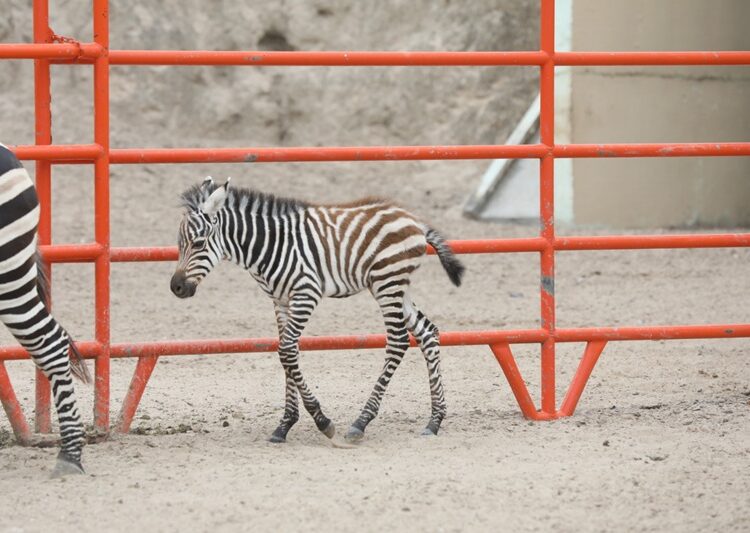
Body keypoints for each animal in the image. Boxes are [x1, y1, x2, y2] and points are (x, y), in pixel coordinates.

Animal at [171, 176, 464, 443]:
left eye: (198, 243)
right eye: (179, 243)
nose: (176, 288)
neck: (270, 245)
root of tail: (412, 219)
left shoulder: (306, 293)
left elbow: (287, 350)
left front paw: (322, 421)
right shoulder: (281, 301)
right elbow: (287, 352)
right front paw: (284, 425)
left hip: (387, 281)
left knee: (398, 341)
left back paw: (362, 421)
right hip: (395, 286)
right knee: (427, 332)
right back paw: (435, 420)